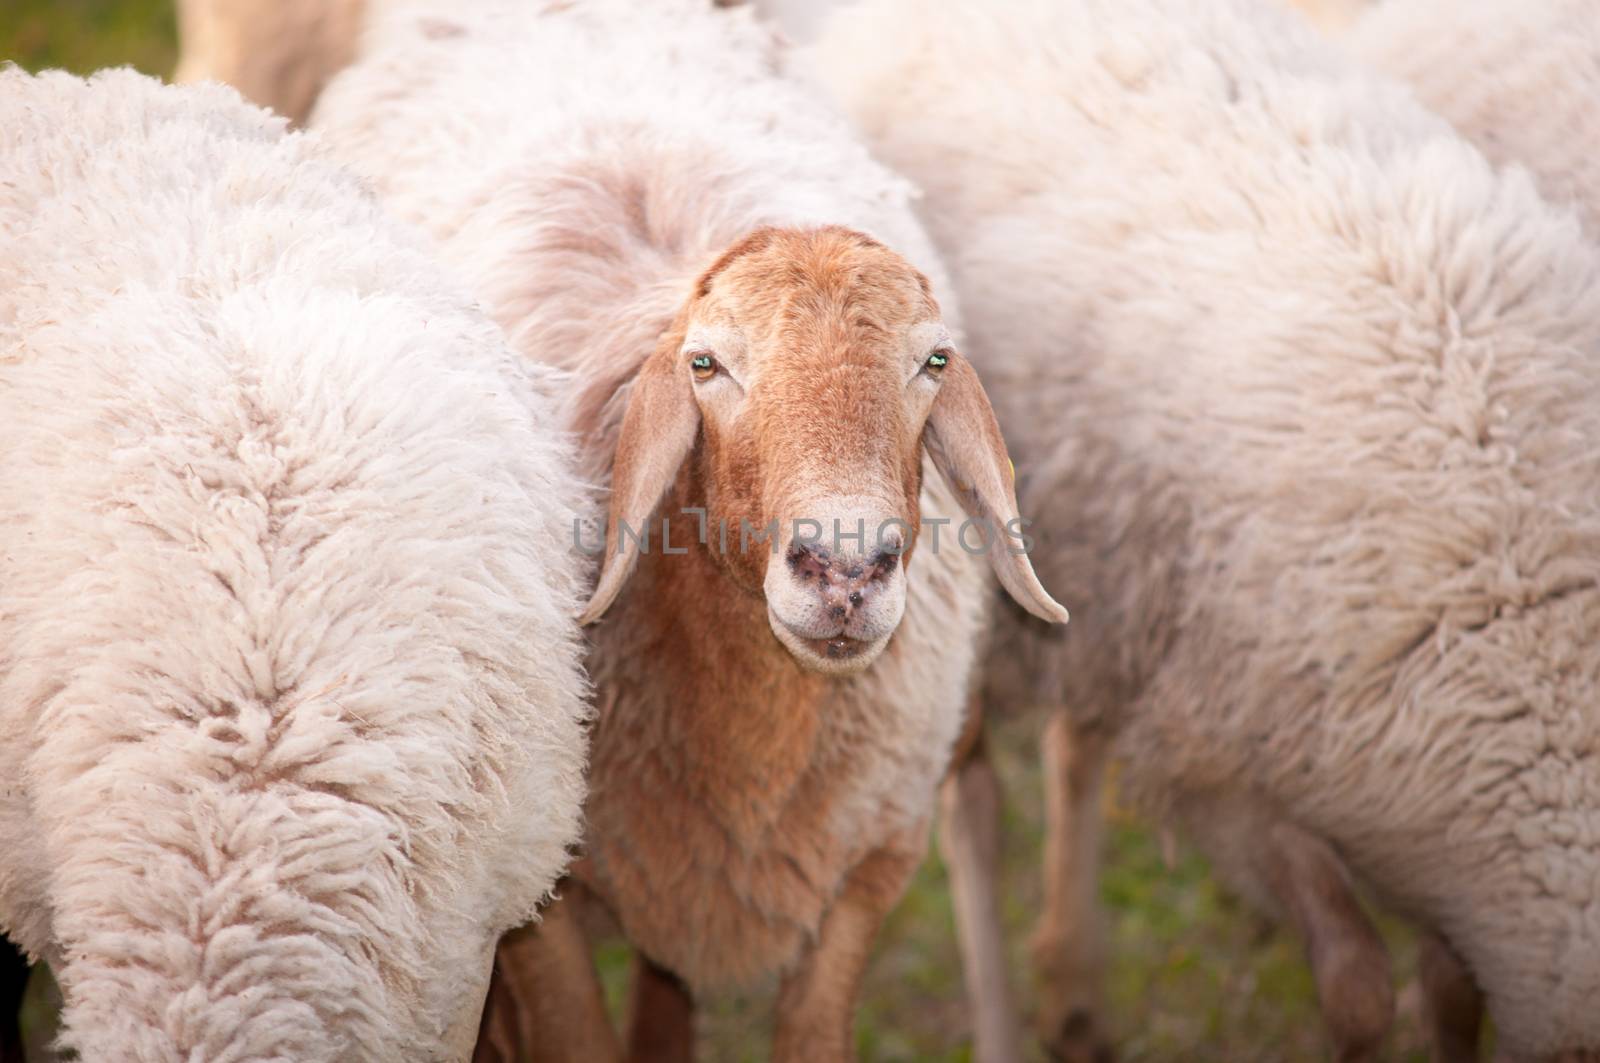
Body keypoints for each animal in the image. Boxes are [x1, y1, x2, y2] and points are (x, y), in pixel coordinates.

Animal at [305, 0, 1068, 1056]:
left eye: (934, 360)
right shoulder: (539, 899)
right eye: (707, 364)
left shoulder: (860, 876)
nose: (845, 571)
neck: (751, 730)